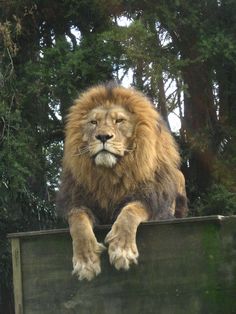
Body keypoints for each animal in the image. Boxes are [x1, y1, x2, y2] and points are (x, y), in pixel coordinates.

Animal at [55, 83, 188, 280]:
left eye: (119, 121)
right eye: (93, 123)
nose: (103, 136)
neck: (110, 174)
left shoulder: (151, 200)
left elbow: (130, 212)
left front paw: (122, 250)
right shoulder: (77, 201)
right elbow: (78, 222)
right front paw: (86, 261)